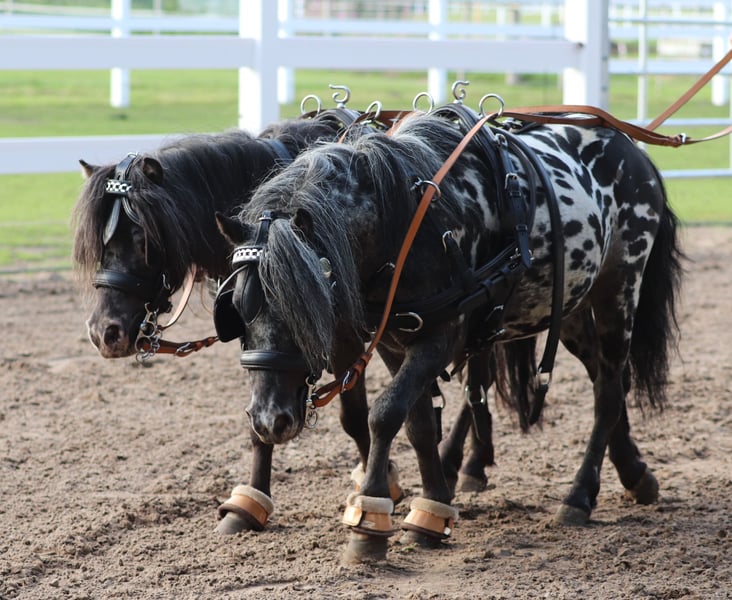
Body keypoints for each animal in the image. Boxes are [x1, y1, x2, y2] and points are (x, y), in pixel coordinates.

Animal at [215, 108, 683, 563]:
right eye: (235, 309)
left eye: (307, 308)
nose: (268, 421)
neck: (406, 224)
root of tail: (627, 145)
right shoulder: (393, 339)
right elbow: (418, 421)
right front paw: (431, 510)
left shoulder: (445, 334)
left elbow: (384, 413)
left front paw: (369, 522)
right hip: (566, 307)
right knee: (606, 377)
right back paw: (634, 474)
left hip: (619, 289)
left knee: (608, 391)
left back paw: (579, 496)